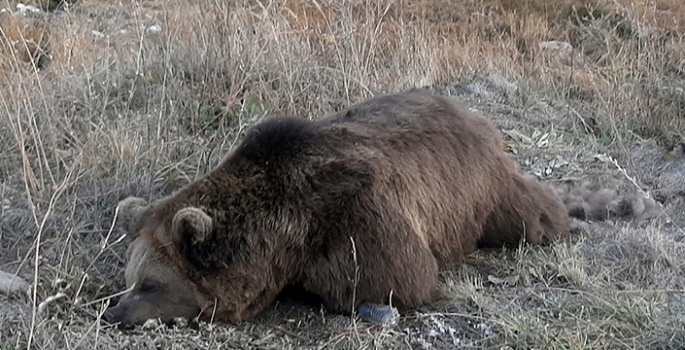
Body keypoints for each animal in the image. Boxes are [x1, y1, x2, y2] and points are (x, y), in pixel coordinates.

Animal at [103, 90, 572, 328]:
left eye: (150, 284)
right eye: (128, 280)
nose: (115, 312)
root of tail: (473, 115)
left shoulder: (360, 219)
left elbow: (399, 278)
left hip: (485, 190)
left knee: (530, 215)